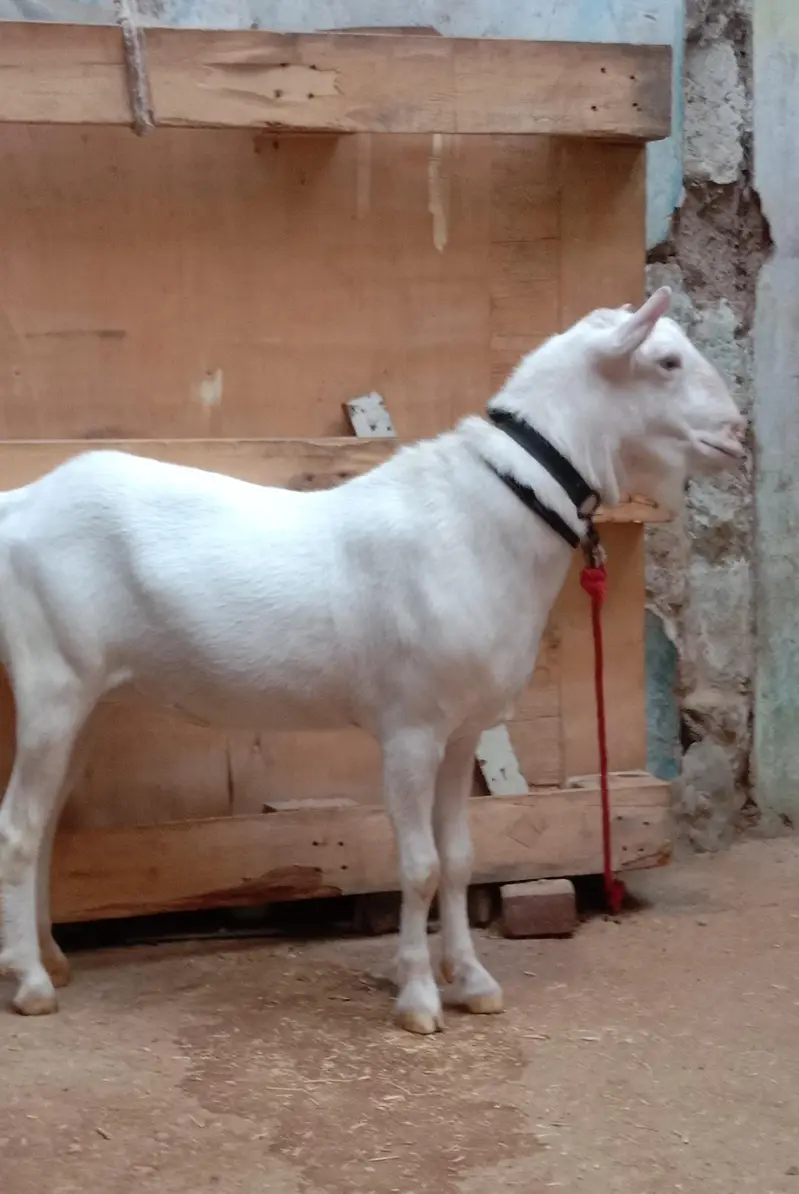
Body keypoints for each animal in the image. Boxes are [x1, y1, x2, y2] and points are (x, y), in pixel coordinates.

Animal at [0, 288, 744, 1032]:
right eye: (667, 360)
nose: (737, 435)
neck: (479, 521)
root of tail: (19, 506)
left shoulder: (461, 731)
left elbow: (460, 858)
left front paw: (471, 979)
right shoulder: (409, 730)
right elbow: (417, 866)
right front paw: (418, 995)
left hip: (90, 700)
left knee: (48, 824)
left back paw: (50, 960)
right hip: (51, 684)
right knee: (19, 827)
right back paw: (31, 984)